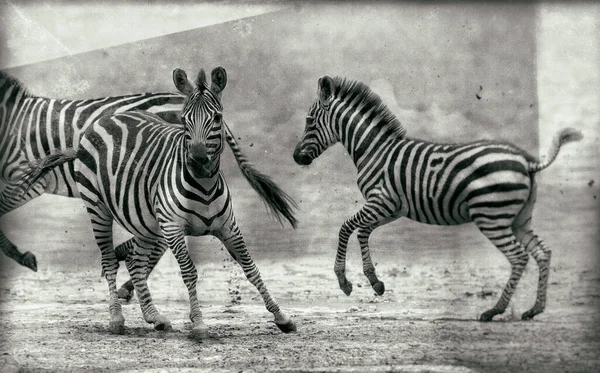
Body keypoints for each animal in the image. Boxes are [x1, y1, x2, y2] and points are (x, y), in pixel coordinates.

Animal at [292, 75, 584, 320]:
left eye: (309, 121)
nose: (296, 158)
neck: (374, 149)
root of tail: (527, 161)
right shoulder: (392, 208)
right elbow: (363, 232)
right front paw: (375, 282)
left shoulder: (381, 201)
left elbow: (346, 227)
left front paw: (344, 281)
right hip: (519, 217)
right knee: (542, 252)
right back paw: (534, 309)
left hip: (492, 216)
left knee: (519, 257)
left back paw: (494, 310)